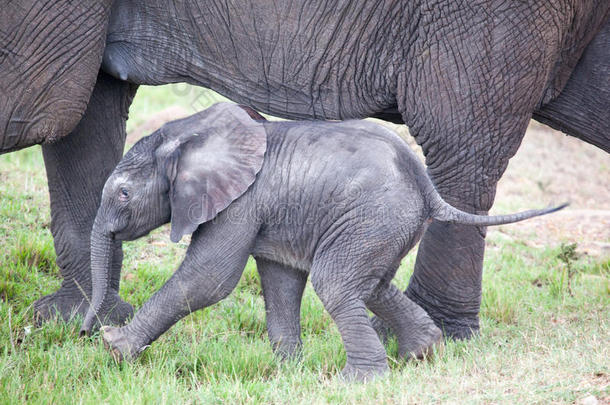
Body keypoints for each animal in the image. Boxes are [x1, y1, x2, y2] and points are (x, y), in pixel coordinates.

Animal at [1, 0, 608, 338]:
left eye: (126, 196)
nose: (84, 336)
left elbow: (40, 107)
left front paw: (108, 338)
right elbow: (81, 112)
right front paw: (71, 321)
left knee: (461, 145)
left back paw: (423, 338)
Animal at [82, 102, 564, 380]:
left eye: (123, 194)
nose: (84, 332)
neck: (189, 132)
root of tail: (427, 187)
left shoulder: (241, 202)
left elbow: (209, 278)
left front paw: (114, 348)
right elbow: (279, 280)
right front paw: (288, 374)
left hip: (371, 217)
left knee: (336, 283)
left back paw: (356, 381)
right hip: (381, 226)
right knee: (370, 285)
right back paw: (421, 356)